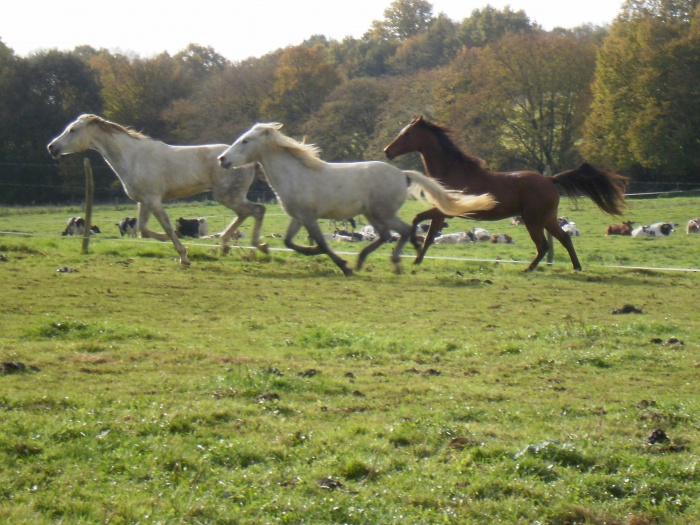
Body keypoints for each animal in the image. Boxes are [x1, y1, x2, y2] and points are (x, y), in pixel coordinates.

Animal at [45, 113, 266, 264]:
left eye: (73, 130)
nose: (51, 147)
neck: (132, 157)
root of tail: (253, 161)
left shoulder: (153, 200)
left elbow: (166, 226)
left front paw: (183, 255)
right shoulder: (143, 201)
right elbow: (143, 228)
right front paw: (170, 242)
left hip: (227, 196)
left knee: (257, 210)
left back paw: (259, 246)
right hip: (230, 196)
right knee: (246, 213)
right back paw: (228, 245)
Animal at [219, 123, 498, 276]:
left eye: (245, 141)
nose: (223, 159)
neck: (296, 174)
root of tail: (403, 174)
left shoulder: (309, 217)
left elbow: (321, 242)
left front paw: (343, 265)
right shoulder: (298, 217)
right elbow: (290, 242)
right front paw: (317, 253)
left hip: (383, 213)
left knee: (404, 231)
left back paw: (394, 262)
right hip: (371, 214)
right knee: (387, 235)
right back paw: (365, 259)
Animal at [382, 117, 628, 272]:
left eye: (407, 134)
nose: (387, 151)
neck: (453, 171)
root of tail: (550, 179)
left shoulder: (445, 211)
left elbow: (419, 221)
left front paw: (409, 250)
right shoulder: (442, 213)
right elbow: (430, 235)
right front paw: (416, 260)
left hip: (533, 220)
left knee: (543, 246)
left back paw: (529, 269)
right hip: (547, 219)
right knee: (564, 239)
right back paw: (576, 267)